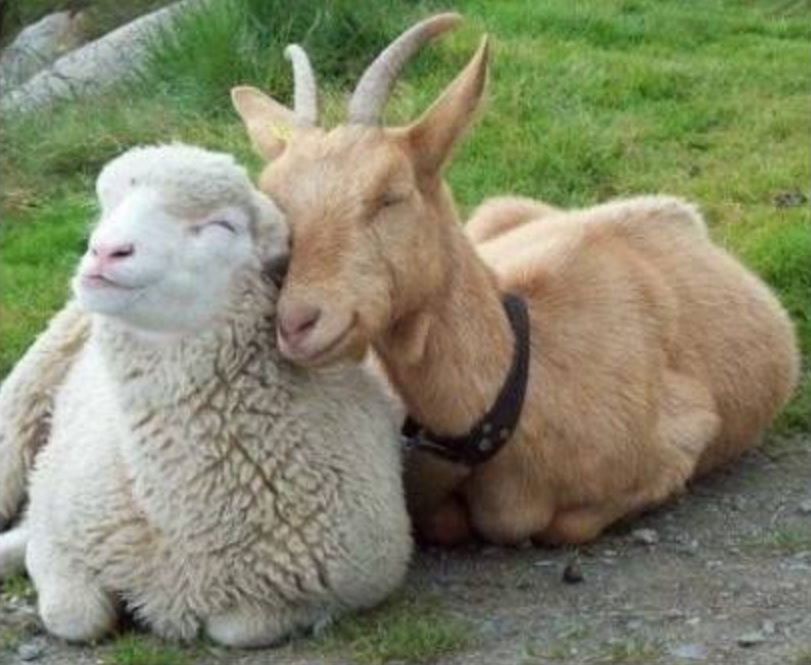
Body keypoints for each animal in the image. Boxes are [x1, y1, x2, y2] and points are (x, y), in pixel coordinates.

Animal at [0, 143, 412, 645]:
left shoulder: (348, 581)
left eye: (222, 226)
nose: (104, 252)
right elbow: (74, 614)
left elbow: (236, 627)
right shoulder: (59, 528)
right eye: (108, 205)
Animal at [230, 14, 800, 546]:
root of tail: (682, 212)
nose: (297, 323)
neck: (529, 382)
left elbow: (565, 525)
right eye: (274, 198)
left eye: (391, 194)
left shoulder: (687, 436)